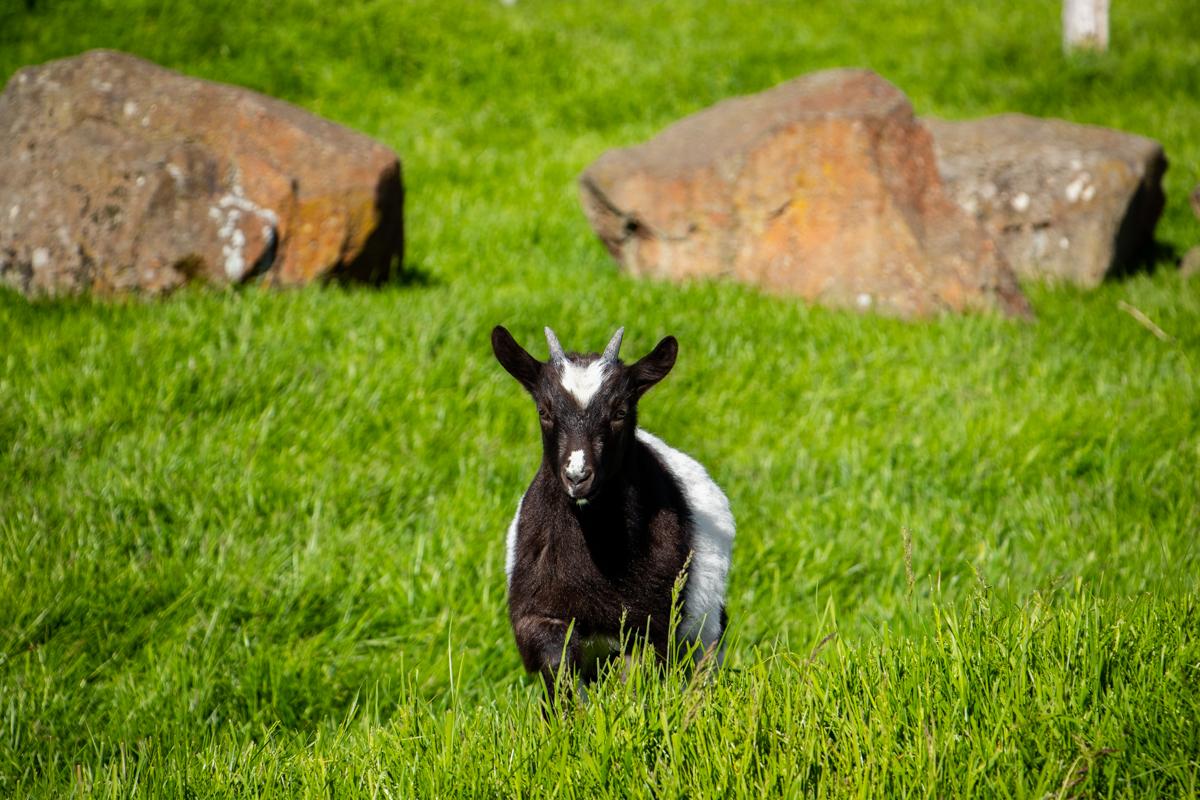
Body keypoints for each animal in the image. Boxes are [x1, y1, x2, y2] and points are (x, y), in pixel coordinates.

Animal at [491, 325, 735, 708]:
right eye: (544, 410)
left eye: (620, 411)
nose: (577, 475)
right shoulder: (538, 613)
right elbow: (558, 668)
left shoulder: (650, 622)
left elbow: (634, 681)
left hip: (706, 629)